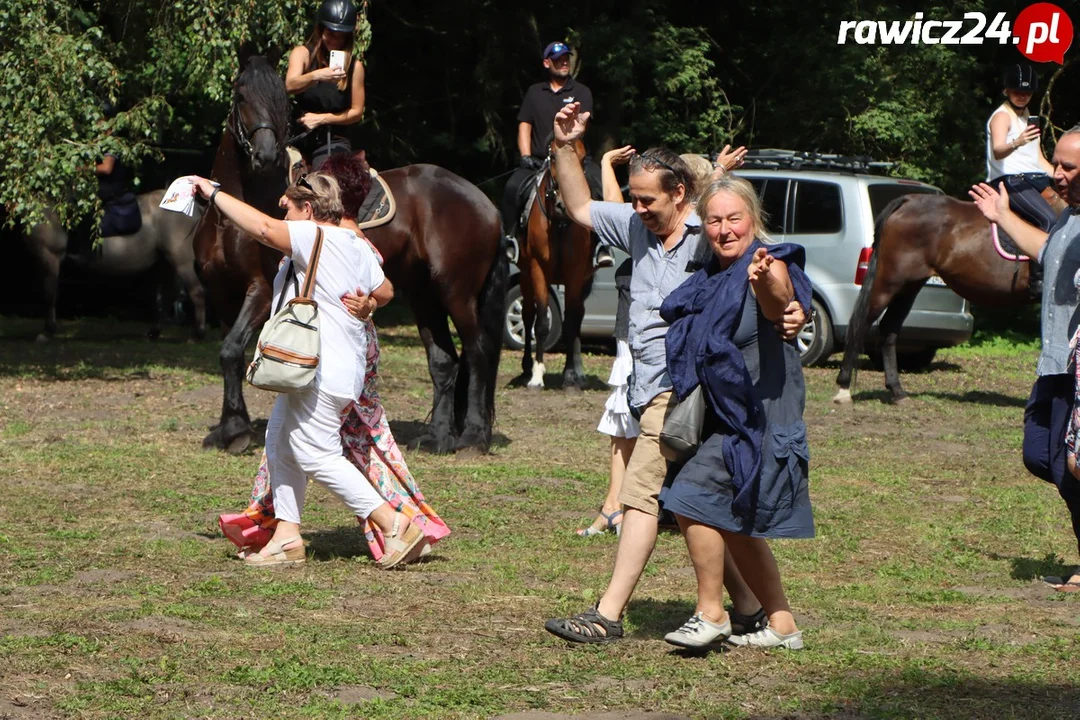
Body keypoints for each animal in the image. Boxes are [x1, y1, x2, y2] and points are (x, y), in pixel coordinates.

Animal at [24, 188, 206, 341]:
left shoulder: (50, 258)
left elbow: (49, 294)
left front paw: (47, 332)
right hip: (166, 263)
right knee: (169, 296)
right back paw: (154, 332)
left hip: (181, 262)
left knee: (196, 292)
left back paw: (197, 335)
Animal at [194, 47, 505, 453]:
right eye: (242, 95)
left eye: (280, 102)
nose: (265, 155)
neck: (232, 209)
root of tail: (484, 202)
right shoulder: (221, 291)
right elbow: (228, 352)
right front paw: (229, 427)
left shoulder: (261, 290)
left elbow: (232, 350)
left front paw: (236, 432)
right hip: (423, 293)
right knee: (444, 360)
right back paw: (438, 436)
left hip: (457, 291)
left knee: (479, 351)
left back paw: (472, 437)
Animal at [516, 139, 596, 388]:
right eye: (554, 157)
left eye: (583, 159)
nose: (564, 204)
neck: (560, 223)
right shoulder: (537, 269)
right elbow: (541, 322)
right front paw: (537, 375)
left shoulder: (576, 274)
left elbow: (570, 322)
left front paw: (570, 375)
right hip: (525, 277)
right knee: (527, 315)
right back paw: (526, 367)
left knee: (578, 316)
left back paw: (578, 372)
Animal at [829, 189, 1067, 405]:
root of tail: (908, 201)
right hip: (890, 283)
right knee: (860, 324)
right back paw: (844, 389)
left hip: (909, 286)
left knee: (889, 328)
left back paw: (897, 391)